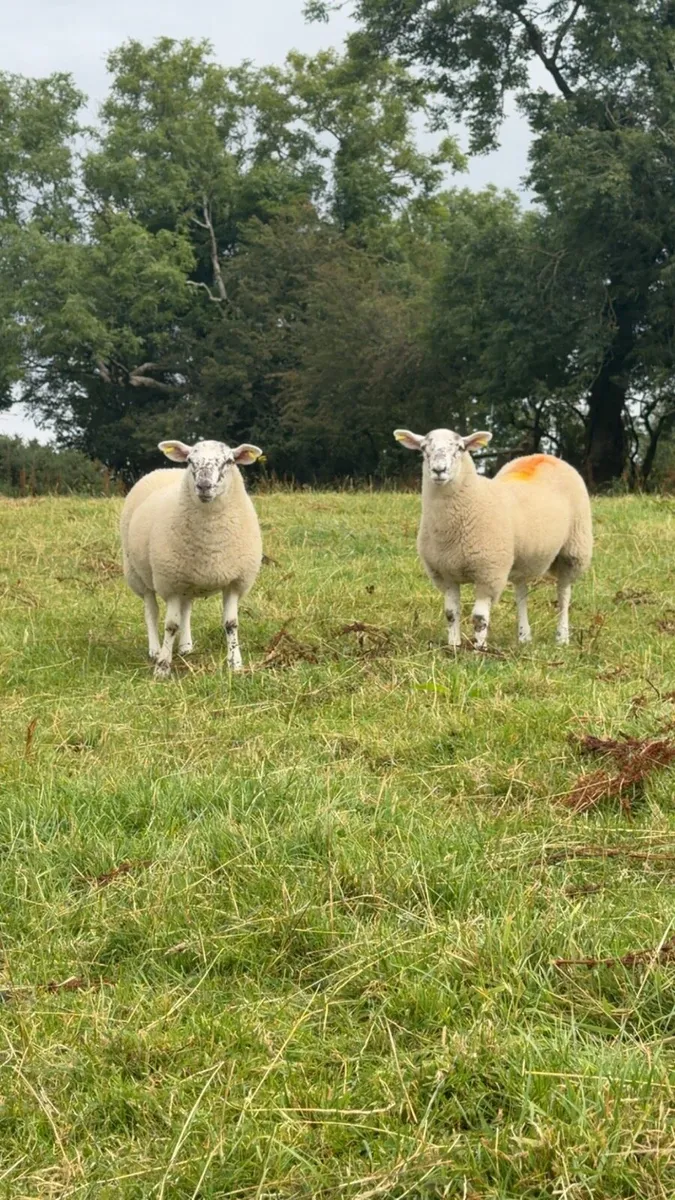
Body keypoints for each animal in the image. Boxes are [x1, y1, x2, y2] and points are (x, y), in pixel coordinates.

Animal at [120, 438, 263, 678]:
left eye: (229, 461)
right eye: (190, 461)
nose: (204, 486)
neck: (211, 544)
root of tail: (165, 469)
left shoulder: (235, 581)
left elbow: (231, 624)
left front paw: (235, 664)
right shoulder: (170, 582)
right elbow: (170, 625)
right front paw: (162, 667)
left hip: (187, 580)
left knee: (186, 610)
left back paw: (186, 647)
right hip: (139, 575)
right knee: (151, 611)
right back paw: (154, 650)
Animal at [394, 427, 593, 650]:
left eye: (460, 448)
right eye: (423, 448)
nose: (439, 470)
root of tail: (545, 456)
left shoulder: (488, 573)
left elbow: (479, 618)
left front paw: (479, 649)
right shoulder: (446, 574)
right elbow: (451, 614)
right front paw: (453, 646)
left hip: (574, 549)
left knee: (564, 594)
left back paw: (562, 637)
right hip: (520, 556)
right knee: (521, 593)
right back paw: (524, 636)